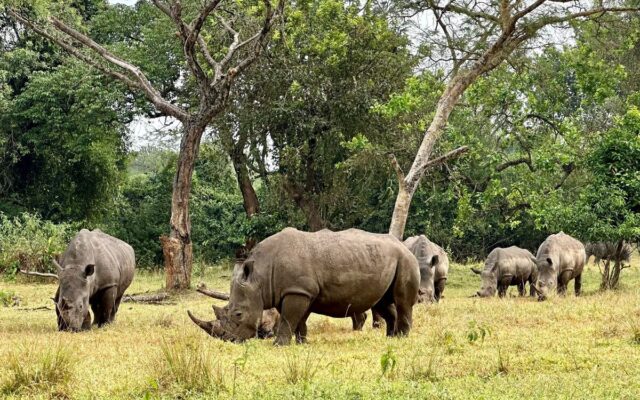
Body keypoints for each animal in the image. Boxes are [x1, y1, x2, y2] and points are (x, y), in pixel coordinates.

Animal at [188, 228, 419, 345]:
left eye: (237, 314)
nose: (228, 340)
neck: (260, 276)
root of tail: (403, 245)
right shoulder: (294, 291)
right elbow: (297, 319)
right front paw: (301, 343)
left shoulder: (298, 291)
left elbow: (288, 319)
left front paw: (279, 345)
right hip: (387, 260)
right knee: (381, 301)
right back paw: (391, 338)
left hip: (406, 259)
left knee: (402, 301)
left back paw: (402, 338)